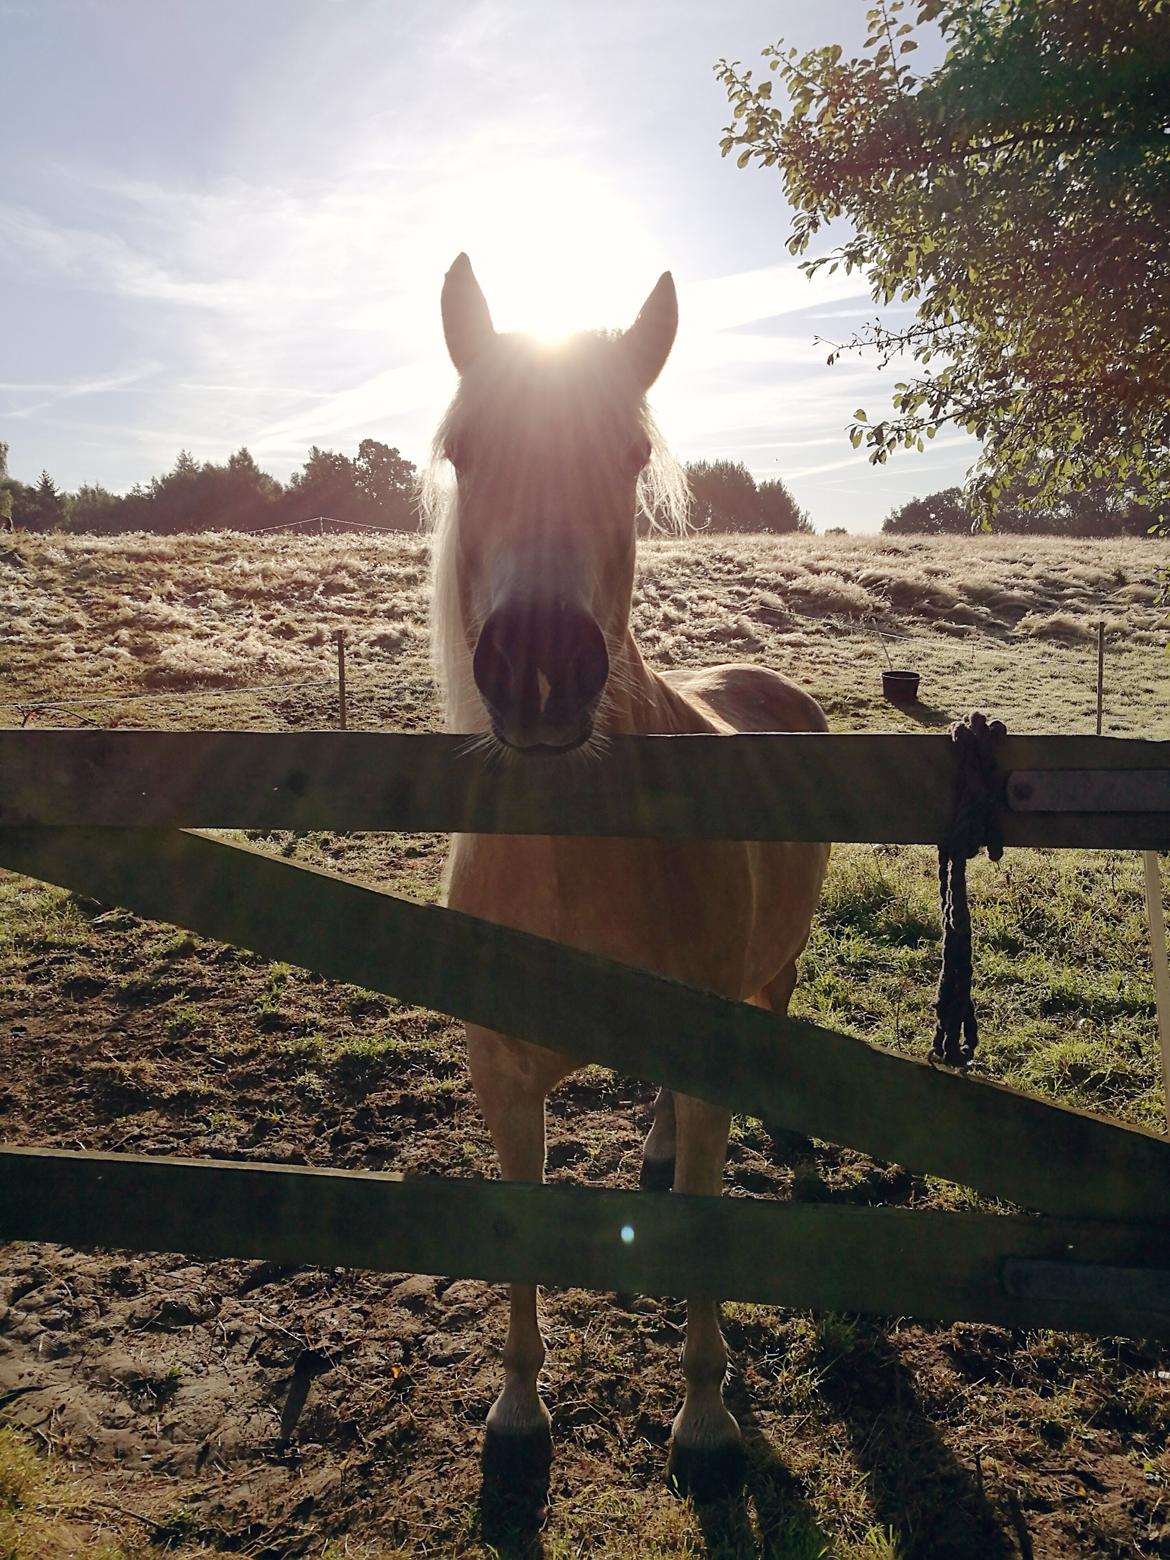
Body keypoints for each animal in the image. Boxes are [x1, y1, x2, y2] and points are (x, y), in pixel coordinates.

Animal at [430, 255, 836, 1497]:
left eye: (624, 455)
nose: (541, 669)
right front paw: (518, 1415)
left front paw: (706, 1425)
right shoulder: (504, 1080)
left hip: (773, 972)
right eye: (465, 451)